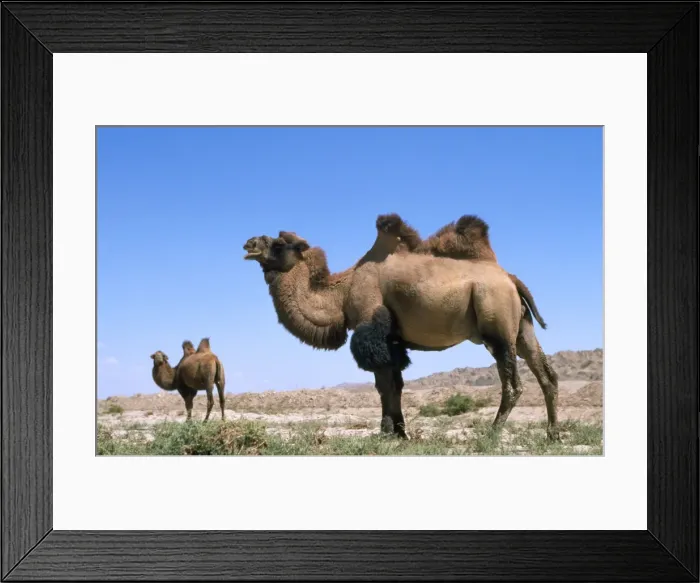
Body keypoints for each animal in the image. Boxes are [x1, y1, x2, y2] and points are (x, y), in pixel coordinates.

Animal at [371, 213, 559, 441]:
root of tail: (511, 278)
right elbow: (392, 383)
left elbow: (385, 383)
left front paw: (388, 432)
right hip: (523, 327)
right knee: (547, 375)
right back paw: (553, 434)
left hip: (499, 325)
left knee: (513, 384)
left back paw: (492, 433)